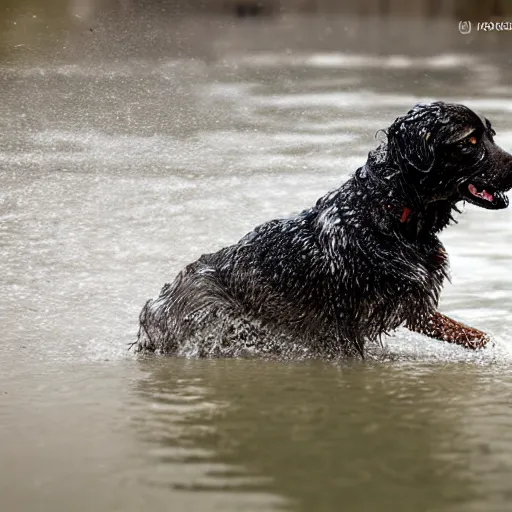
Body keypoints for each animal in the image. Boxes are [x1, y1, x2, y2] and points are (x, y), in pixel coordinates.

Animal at [135, 102, 512, 358]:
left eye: (490, 135)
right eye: (470, 141)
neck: (390, 214)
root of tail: (152, 310)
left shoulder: (411, 305)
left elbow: (470, 333)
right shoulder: (344, 327)